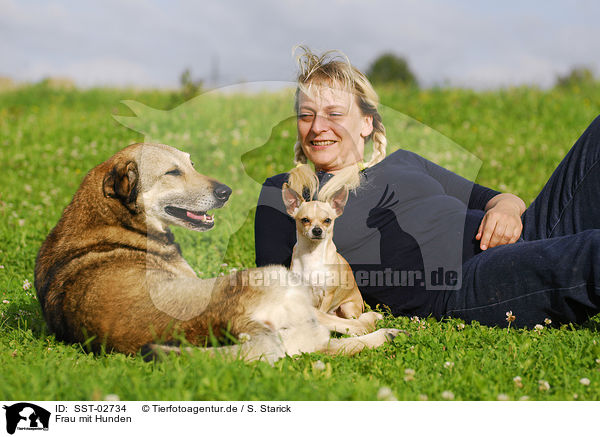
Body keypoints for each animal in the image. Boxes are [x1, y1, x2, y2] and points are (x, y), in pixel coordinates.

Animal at [37, 144, 404, 362]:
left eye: (191, 163)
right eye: (172, 172)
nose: (227, 192)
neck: (111, 218)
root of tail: (234, 325)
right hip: (277, 280)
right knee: (333, 332)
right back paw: (379, 327)